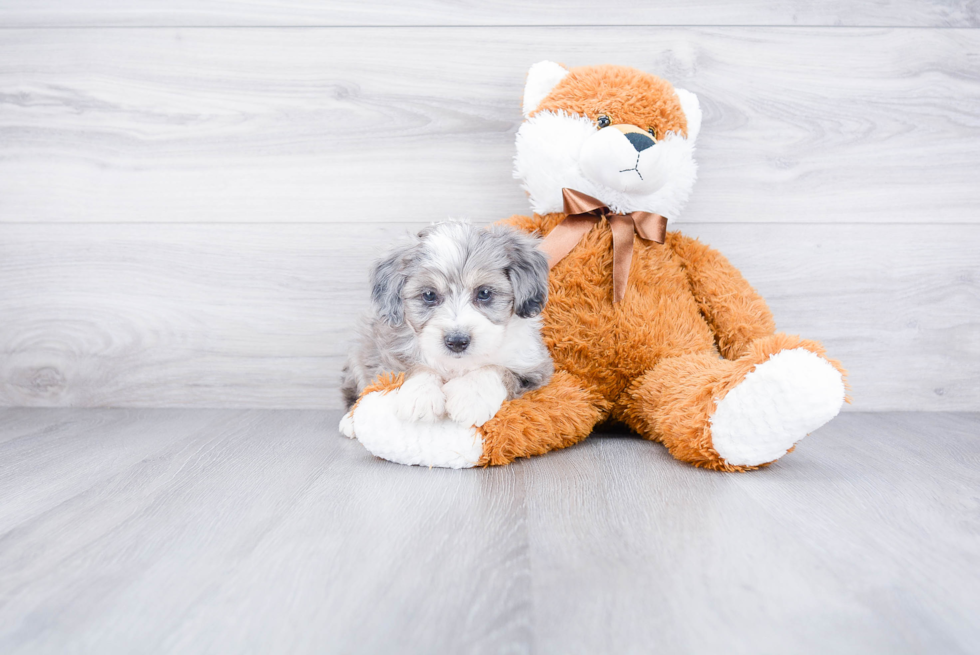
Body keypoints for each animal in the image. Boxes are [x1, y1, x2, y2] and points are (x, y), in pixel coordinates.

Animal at [338, 218, 552, 428]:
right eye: (429, 295)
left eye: (484, 293)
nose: (457, 342)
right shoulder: (388, 360)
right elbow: (416, 367)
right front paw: (420, 395)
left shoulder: (535, 367)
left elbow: (497, 369)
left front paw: (471, 396)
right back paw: (350, 421)